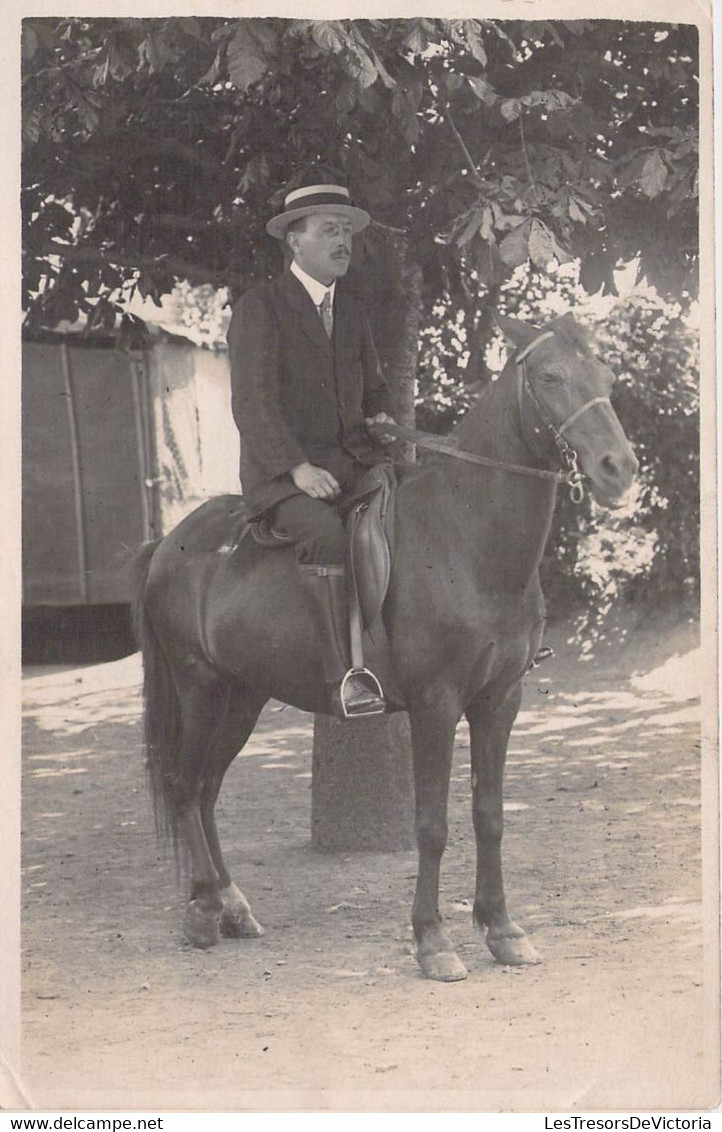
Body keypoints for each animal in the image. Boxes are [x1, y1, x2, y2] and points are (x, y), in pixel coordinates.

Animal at [132, 312, 638, 982]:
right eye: (551, 376)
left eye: (606, 375)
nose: (618, 468)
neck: (466, 534)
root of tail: (170, 544)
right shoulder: (436, 704)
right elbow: (432, 825)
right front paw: (433, 941)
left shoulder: (500, 699)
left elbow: (490, 815)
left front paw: (503, 929)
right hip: (200, 688)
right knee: (185, 784)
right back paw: (202, 911)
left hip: (244, 696)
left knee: (208, 788)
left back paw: (232, 904)